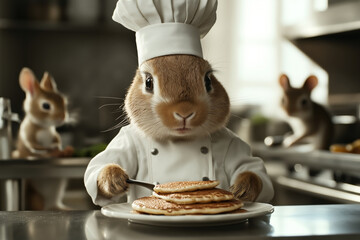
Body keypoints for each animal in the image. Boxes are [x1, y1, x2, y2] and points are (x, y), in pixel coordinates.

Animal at [12, 68, 73, 210]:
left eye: (63, 101)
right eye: (46, 106)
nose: (62, 117)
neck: (44, 127)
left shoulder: (54, 135)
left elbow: (57, 141)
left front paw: (66, 150)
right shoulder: (29, 136)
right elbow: (38, 148)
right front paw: (55, 152)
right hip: (36, 195)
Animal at [84, 55, 274, 205]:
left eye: (208, 80)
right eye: (148, 82)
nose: (184, 111)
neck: (178, 140)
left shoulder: (232, 143)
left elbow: (254, 169)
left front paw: (243, 188)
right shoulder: (126, 140)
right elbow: (98, 166)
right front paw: (114, 179)